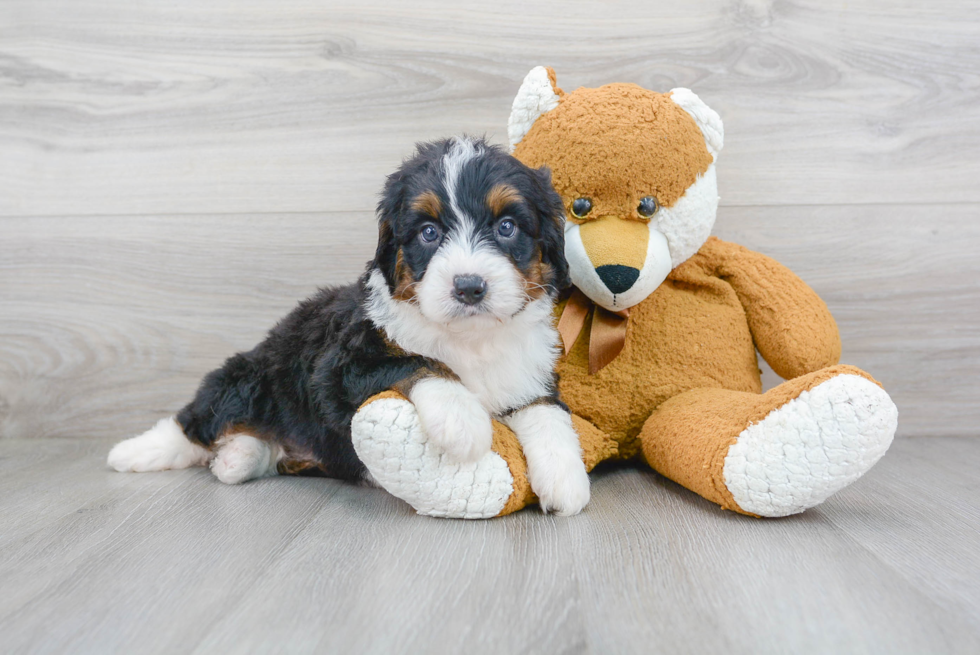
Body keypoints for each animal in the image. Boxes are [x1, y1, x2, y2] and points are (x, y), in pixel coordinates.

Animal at [111, 136, 592, 516]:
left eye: (507, 226)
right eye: (429, 233)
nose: (469, 287)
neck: (471, 338)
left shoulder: (529, 371)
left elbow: (548, 411)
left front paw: (566, 480)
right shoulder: (341, 367)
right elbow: (421, 362)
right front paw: (463, 421)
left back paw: (238, 458)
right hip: (250, 378)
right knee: (196, 421)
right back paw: (136, 451)